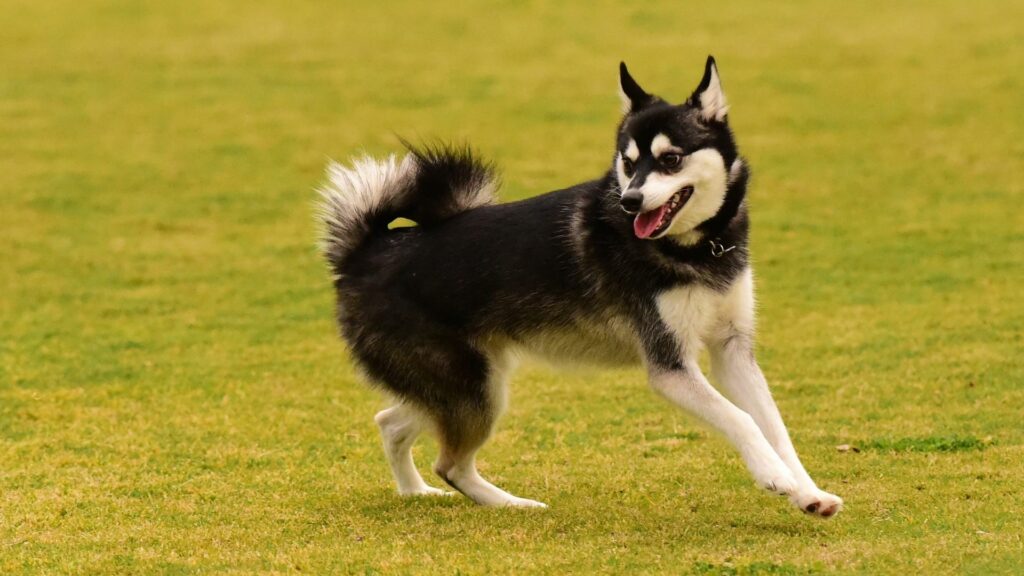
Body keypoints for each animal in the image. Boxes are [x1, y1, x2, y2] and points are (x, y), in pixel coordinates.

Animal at [317, 57, 839, 516]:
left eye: (670, 160)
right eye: (628, 163)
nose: (631, 202)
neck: (697, 249)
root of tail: (367, 251)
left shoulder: (732, 351)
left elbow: (776, 428)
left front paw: (808, 493)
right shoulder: (670, 366)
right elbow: (742, 418)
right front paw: (774, 477)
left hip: (464, 384)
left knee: (391, 423)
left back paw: (415, 493)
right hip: (472, 389)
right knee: (449, 462)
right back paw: (513, 505)